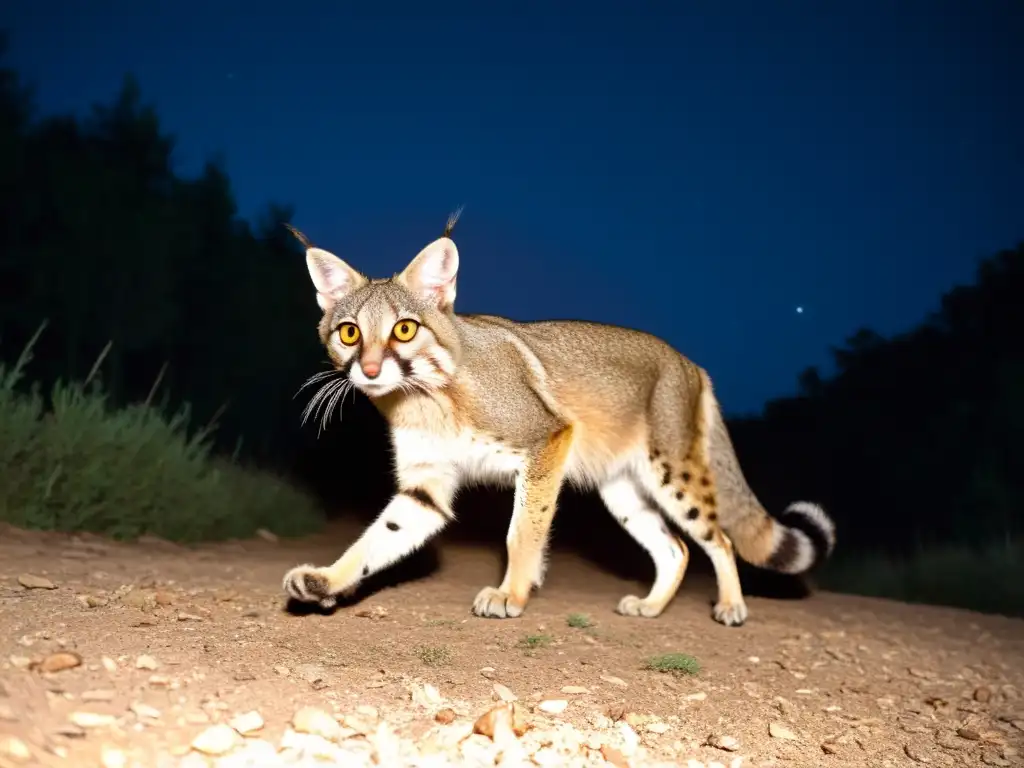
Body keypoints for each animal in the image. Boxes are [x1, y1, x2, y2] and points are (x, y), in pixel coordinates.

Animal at [280, 217, 831, 626]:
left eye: (404, 329)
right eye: (349, 333)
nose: (370, 371)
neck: (423, 398)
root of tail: (691, 363)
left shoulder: (545, 440)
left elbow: (523, 529)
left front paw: (512, 593)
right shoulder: (427, 483)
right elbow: (381, 536)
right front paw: (328, 579)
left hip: (671, 469)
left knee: (718, 538)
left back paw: (732, 605)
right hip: (622, 487)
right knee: (675, 548)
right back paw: (652, 605)